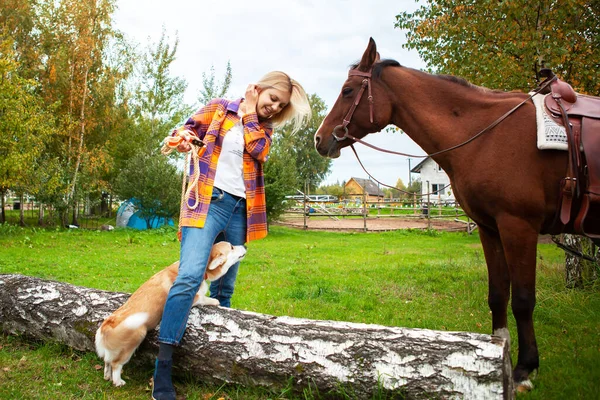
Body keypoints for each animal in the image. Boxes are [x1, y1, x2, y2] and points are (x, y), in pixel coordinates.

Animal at [95, 242, 245, 386]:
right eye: (232, 247)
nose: (245, 246)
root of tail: (106, 327)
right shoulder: (194, 298)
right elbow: (205, 298)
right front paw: (215, 301)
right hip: (134, 339)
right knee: (116, 364)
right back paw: (118, 381)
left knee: (107, 361)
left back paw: (107, 376)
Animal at [314, 38, 596, 390]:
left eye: (348, 90)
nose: (319, 139)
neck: (488, 134)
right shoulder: (490, 228)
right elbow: (498, 294)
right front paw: (498, 354)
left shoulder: (519, 226)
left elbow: (523, 299)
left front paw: (523, 369)